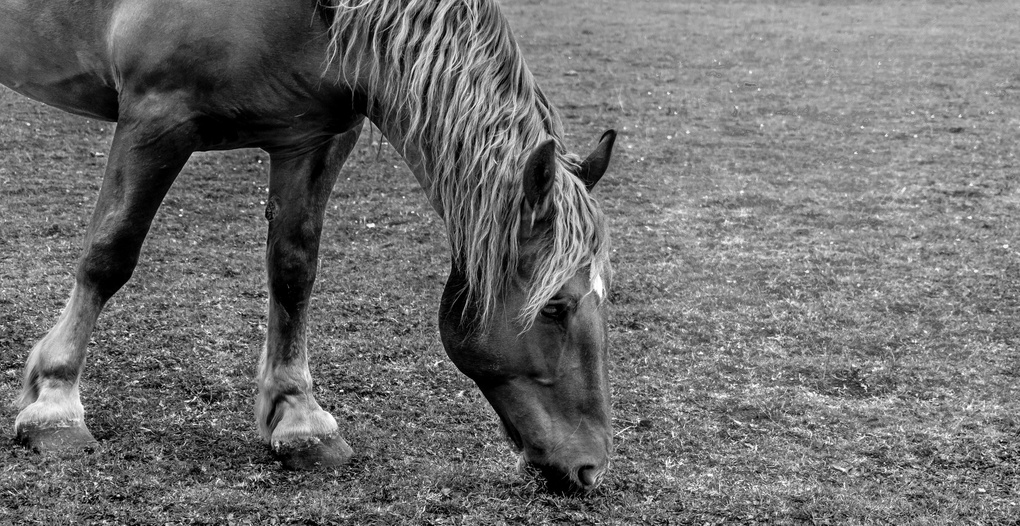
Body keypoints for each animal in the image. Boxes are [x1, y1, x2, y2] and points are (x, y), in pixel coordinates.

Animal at [0, 0, 617, 493]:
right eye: (555, 307)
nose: (590, 467)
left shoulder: (314, 139)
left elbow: (293, 272)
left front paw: (300, 418)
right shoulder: (156, 118)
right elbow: (110, 254)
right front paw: (54, 404)